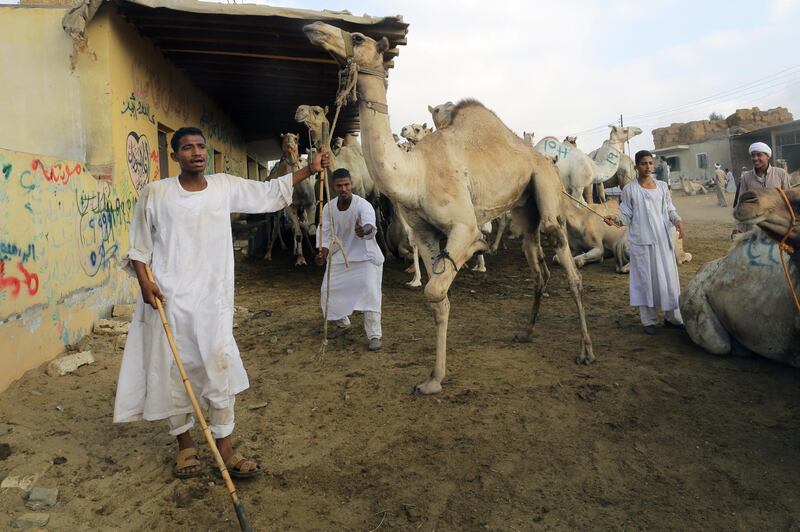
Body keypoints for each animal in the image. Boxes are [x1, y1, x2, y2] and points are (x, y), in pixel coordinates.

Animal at [304, 21, 592, 394]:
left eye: (357, 36)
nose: (313, 27)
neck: (416, 173)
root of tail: (547, 160)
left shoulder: (462, 227)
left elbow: (436, 287)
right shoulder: (426, 233)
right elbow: (437, 300)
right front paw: (433, 379)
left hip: (546, 189)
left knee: (567, 263)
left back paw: (585, 350)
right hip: (523, 210)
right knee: (538, 268)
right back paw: (526, 332)